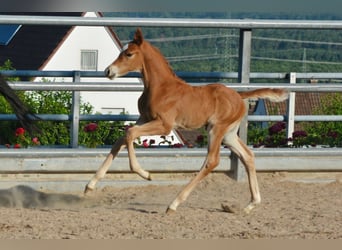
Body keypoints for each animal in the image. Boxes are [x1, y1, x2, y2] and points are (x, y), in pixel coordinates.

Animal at [84, 28, 288, 214]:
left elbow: (129, 134)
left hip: (216, 129)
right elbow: (121, 139)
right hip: (229, 134)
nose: (108, 71)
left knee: (212, 161)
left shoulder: (165, 126)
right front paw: (90, 186)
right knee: (248, 156)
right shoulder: (144, 119)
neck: (161, 88)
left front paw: (146, 174)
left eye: (128, 54)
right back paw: (251, 204)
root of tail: (239, 96)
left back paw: (173, 204)